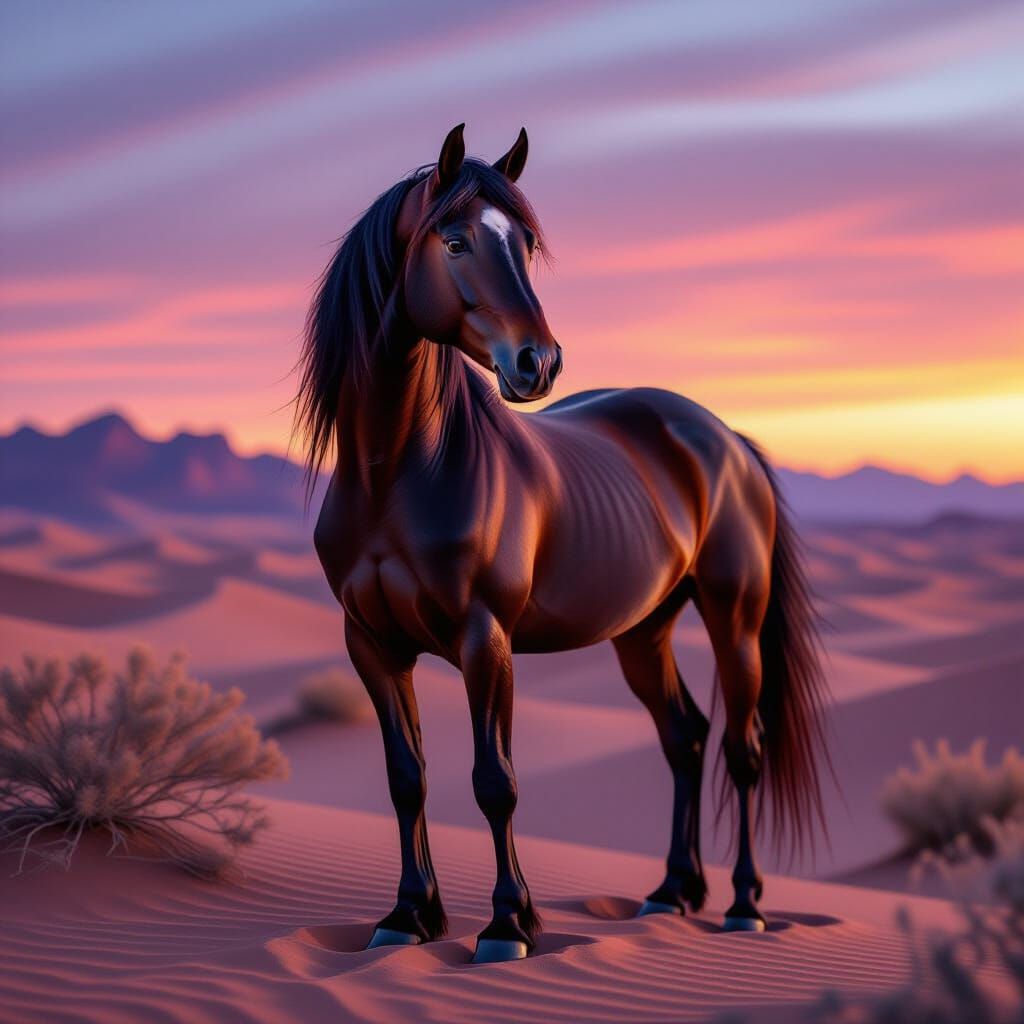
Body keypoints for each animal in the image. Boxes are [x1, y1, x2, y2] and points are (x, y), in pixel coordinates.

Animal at [297, 124, 829, 964]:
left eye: (525, 244)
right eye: (453, 241)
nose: (537, 362)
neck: (399, 476)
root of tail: (725, 439)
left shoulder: (485, 641)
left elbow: (495, 780)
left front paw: (507, 925)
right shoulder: (371, 645)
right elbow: (405, 776)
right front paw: (408, 916)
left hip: (734, 619)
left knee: (741, 751)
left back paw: (743, 905)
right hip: (644, 630)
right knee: (684, 737)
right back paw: (671, 892)